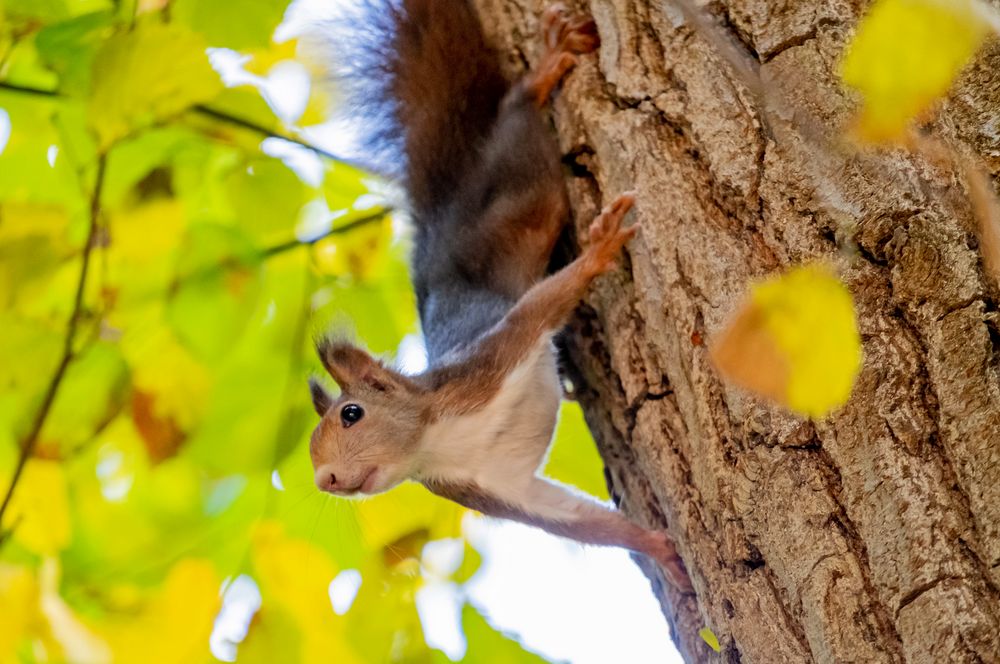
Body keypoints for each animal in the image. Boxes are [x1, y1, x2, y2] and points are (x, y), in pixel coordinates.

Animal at [308, 0, 692, 592]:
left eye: (352, 414)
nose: (325, 479)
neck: (439, 437)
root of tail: (441, 222)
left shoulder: (492, 358)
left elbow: (542, 306)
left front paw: (599, 252)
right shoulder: (493, 488)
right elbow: (573, 520)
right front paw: (658, 549)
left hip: (521, 200)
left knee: (518, 130)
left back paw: (542, 73)